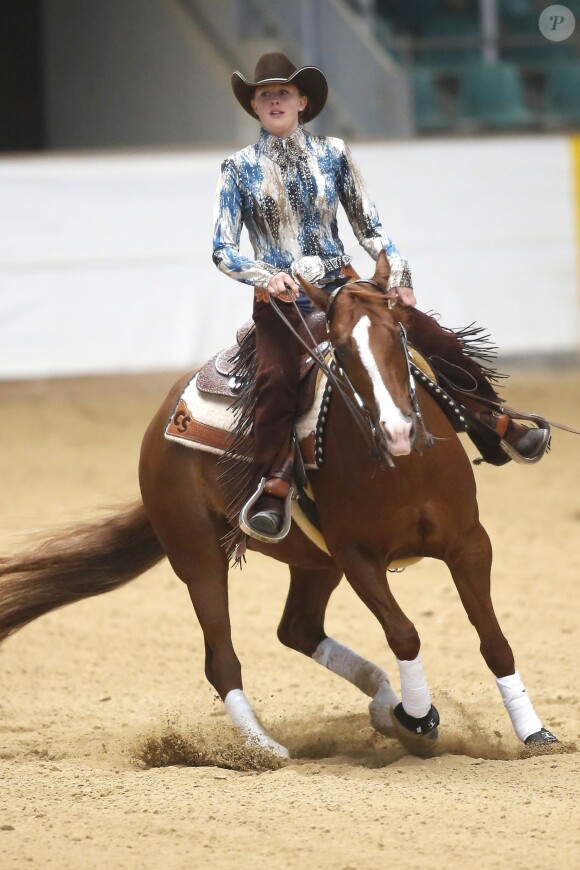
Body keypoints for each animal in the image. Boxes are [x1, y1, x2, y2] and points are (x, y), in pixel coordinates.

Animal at [0, 251, 558, 758]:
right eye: (342, 352)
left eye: (399, 335)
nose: (397, 430)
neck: (405, 470)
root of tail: (165, 420)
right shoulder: (359, 558)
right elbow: (404, 633)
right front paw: (418, 719)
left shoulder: (469, 543)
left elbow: (493, 638)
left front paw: (533, 733)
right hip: (197, 554)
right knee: (221, 659)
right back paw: (264, 747)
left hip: (314, 562)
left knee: (298, 629)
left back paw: (381, 703)